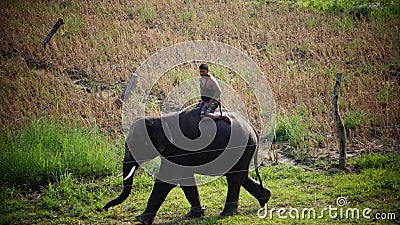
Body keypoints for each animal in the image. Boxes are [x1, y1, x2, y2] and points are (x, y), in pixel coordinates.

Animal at [103, 107, 272, 225]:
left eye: (139, 145)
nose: (105, 208)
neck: (159, 119)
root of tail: (253, 128)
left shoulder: (177, 149)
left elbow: (167, 181)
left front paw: (141, 220)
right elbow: (185, 179)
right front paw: (196, 214)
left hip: (240, 148)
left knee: (234, 178)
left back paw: (227, 214)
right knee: (240, 176)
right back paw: (265, 198)